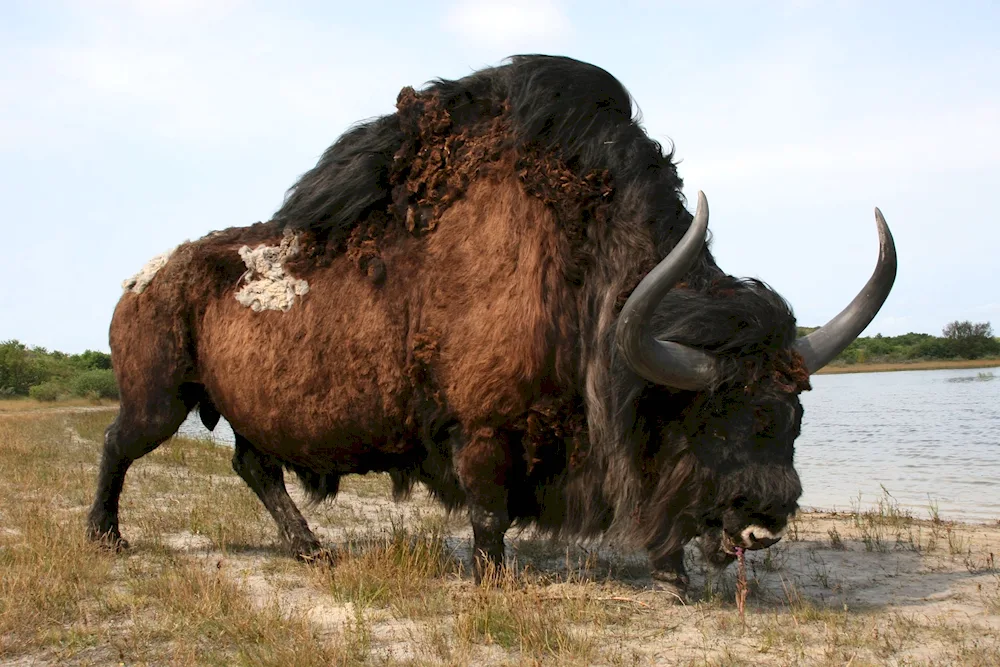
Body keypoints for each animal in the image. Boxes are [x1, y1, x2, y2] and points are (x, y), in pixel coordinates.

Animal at [88, 56, 900, 596]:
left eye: (793, 412)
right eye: (711, 413)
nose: (766, 518)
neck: (580, 271)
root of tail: (139, 283)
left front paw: (672, 577)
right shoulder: (481, 430)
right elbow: (488, 513)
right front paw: (492, 579)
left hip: (244, 414)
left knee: (253, 467)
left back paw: (314, 552)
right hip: (159, 397)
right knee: (119, 443)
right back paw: (106, 537)